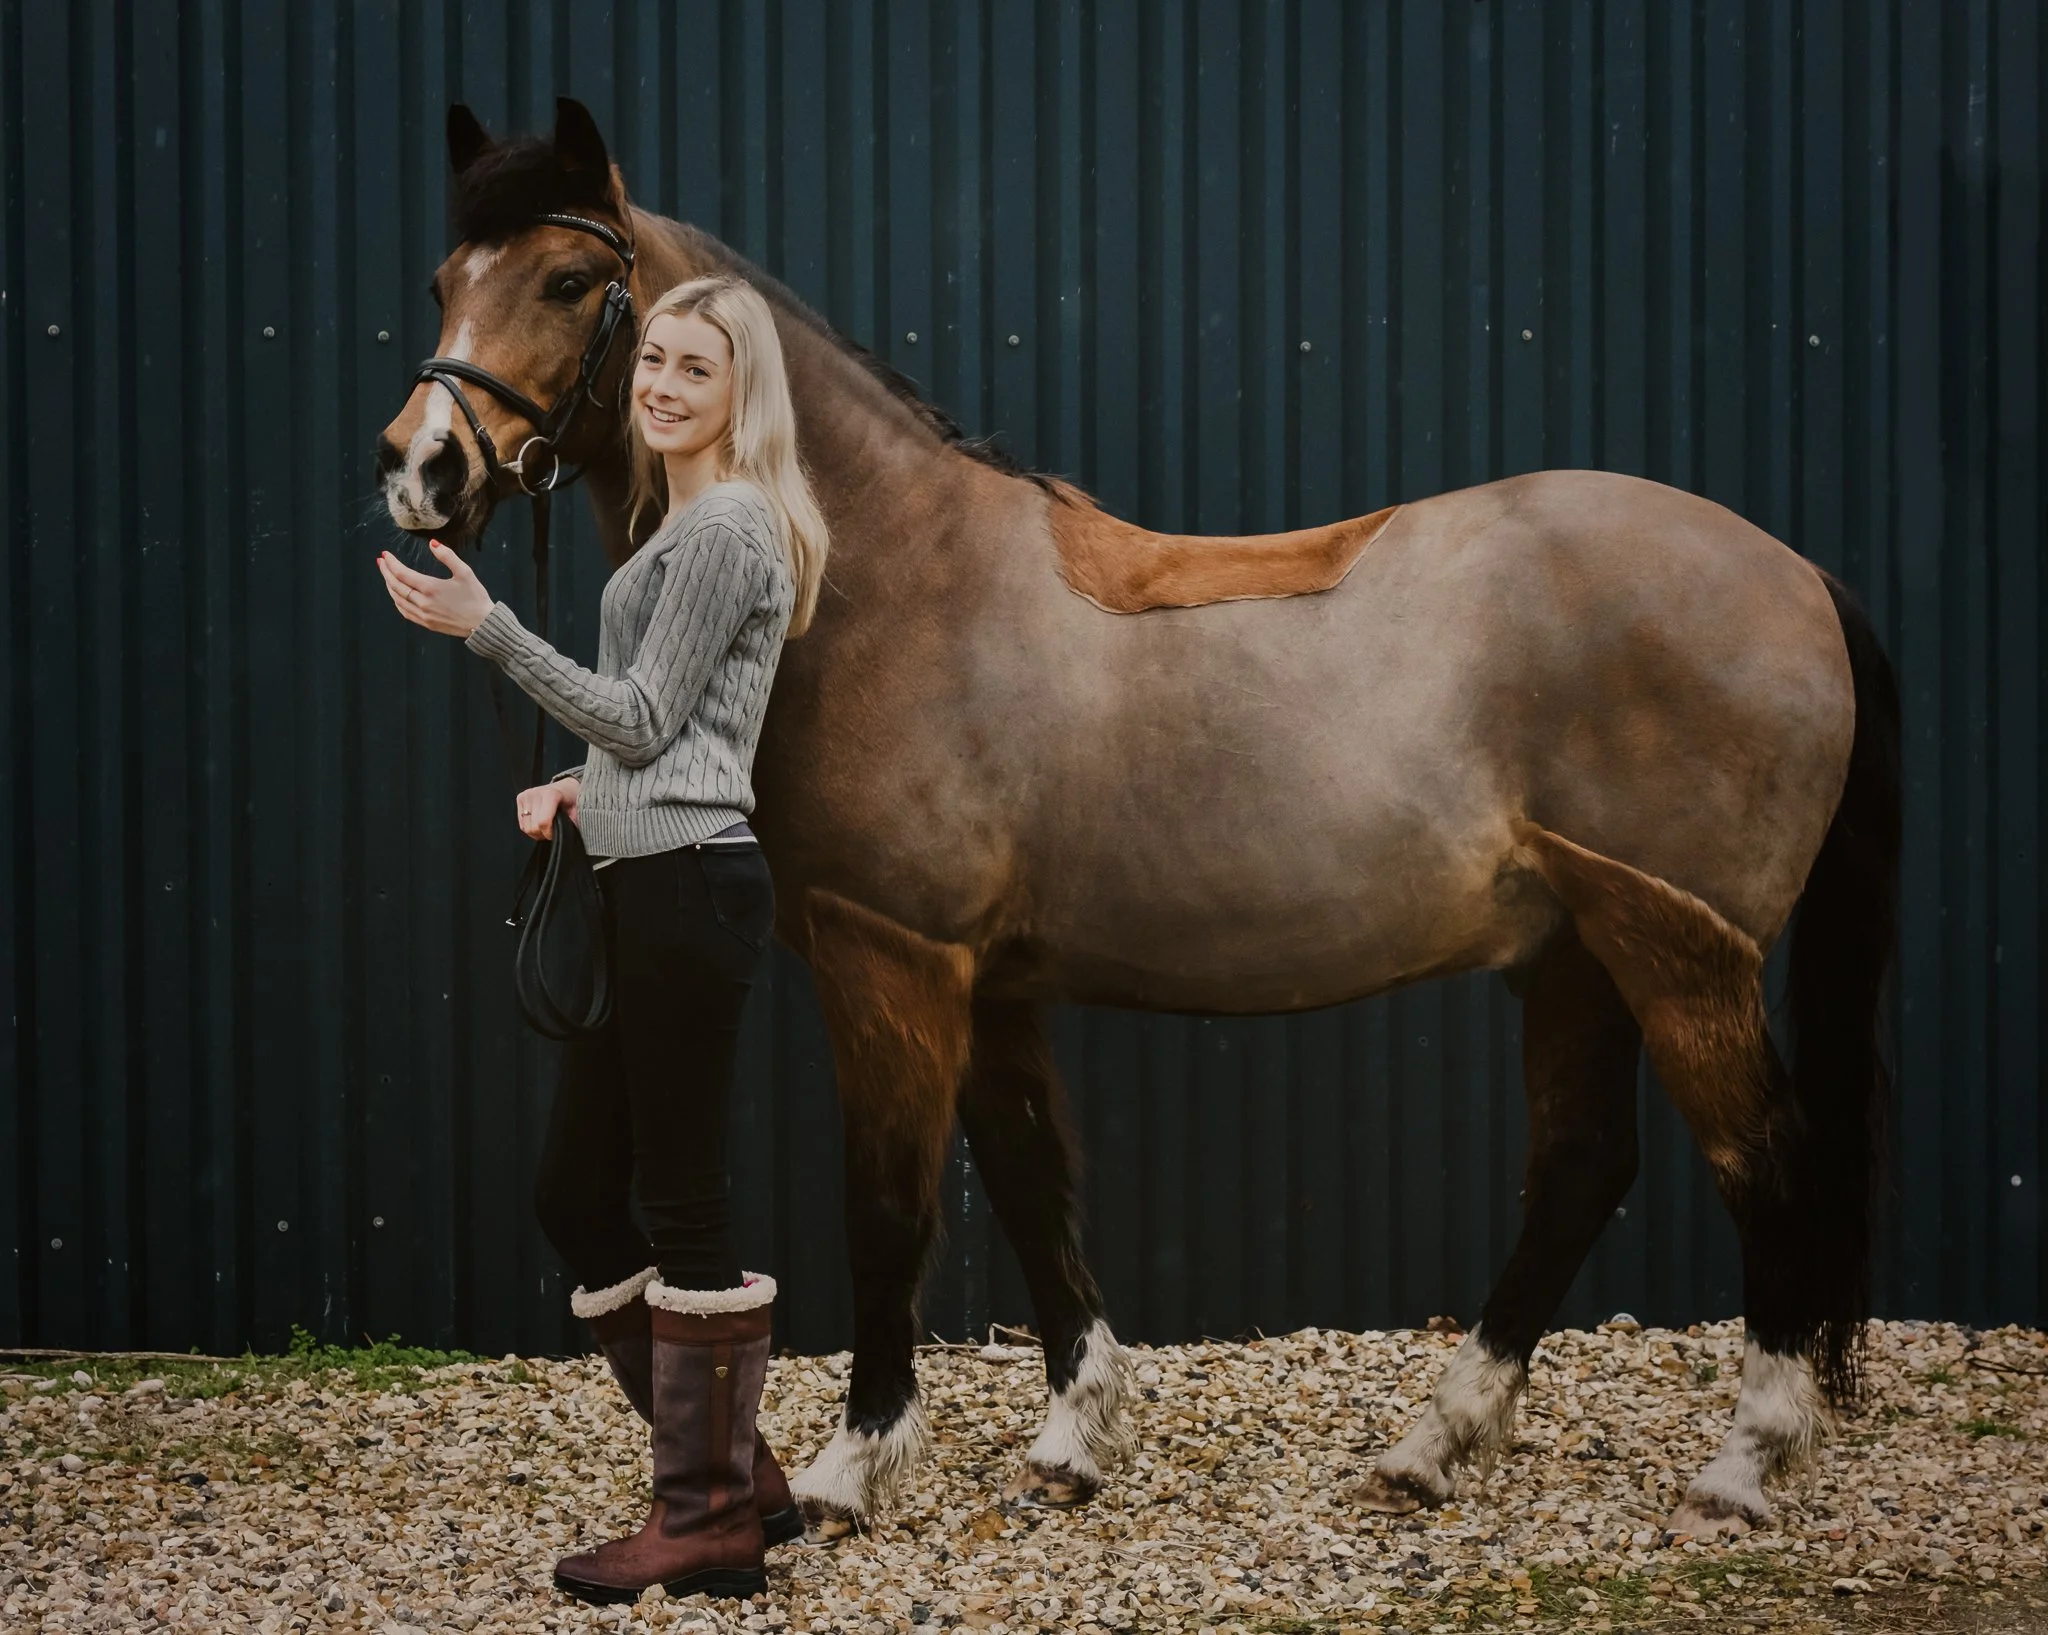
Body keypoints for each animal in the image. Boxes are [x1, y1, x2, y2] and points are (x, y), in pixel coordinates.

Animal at [378, 99, 1899, 1544]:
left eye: (571, 278)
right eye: (449, 273)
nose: (421, 470)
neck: (885, 575)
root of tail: (1797, 573)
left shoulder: (892, 960)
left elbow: (892, 1207)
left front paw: (852, 1469)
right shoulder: (988, 979)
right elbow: (1033, 1181)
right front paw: (1071, 1440)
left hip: (1676, 950)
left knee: (1762, 1163)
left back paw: (1739, 1467)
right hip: (1573, 951)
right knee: (1583, 1165)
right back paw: (1433, 1443)